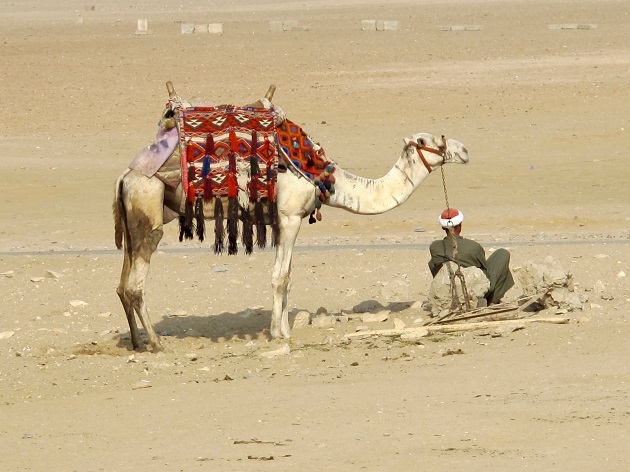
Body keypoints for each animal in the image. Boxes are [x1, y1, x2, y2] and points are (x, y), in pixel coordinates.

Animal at [113, 87, 470, 350]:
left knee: (122, 284)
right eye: (428, 141)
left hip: (133, 219)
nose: (464, 150)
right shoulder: (289, 217)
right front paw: (278, 333)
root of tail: (125, 176)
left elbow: (288, 275)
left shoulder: (281, 222)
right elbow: (281, 276)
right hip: (148, 208)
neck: (323, 175)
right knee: (135, 284)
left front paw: (283, 328)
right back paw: (156, 343)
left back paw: (137, 342)